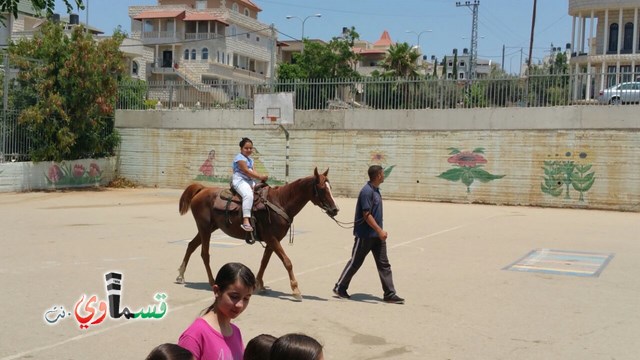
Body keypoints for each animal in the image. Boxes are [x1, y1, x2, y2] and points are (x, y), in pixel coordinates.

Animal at [175, 167, 336, 300]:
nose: (335, 209)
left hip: (208, 229)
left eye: (331, 187)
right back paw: (211, 281)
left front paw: (259, 285)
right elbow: (287, 262)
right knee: (204, 254)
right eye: (322, 188)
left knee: (191, 245)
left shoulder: (272, 240)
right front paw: (295, 290)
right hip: (204, 228)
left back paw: (181, 275)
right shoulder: (272, 239)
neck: (280, 202)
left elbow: (264, 262)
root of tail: (202, 189)